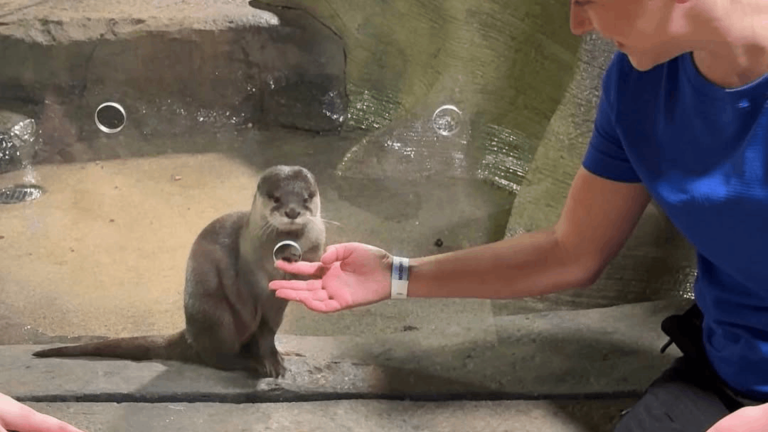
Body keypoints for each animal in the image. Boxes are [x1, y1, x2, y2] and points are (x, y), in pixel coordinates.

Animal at [32, 165, 326, 378]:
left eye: (307, 197)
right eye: (275, 198)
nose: (292, 211)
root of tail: (190, 335)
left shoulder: (282, 297)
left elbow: (269, 333)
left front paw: (277, 357)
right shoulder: (248, 275)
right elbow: (254, 319)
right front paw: (268, 361)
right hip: (215, 316)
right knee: (217, 357)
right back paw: (247, 363)